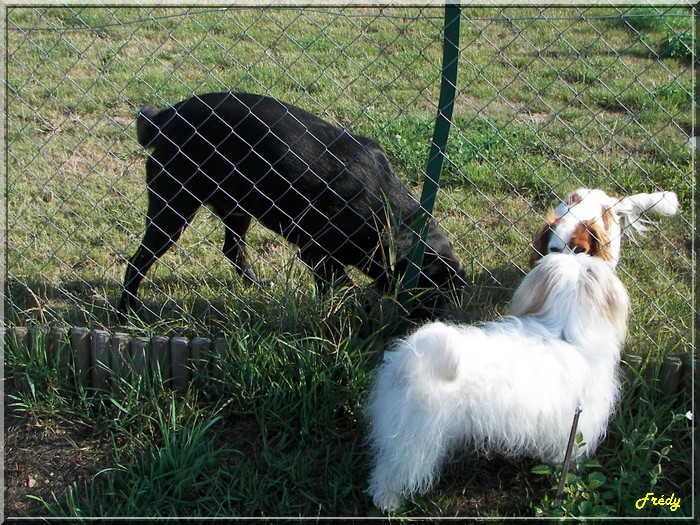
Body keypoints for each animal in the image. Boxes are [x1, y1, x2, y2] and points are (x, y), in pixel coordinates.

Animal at [366, 254, 628, 512]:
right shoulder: (577, 423)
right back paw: (388, 503)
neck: (564, 332)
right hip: (418, 440)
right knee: (393, 472)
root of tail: (411, 361)